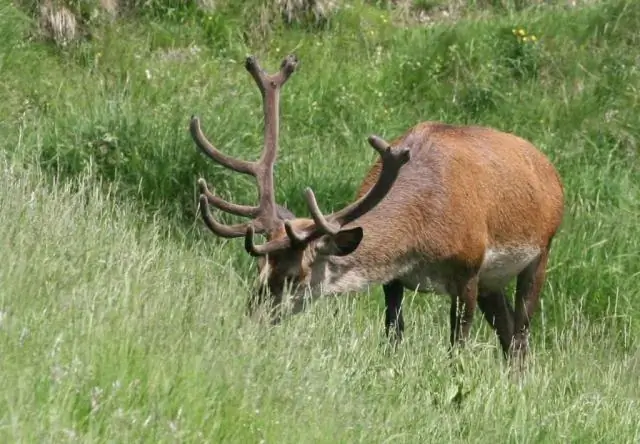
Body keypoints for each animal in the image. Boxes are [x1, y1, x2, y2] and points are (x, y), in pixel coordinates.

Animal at [189, 53, 564, 370]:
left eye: (296, 275)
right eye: (260, 265)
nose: (252, 318)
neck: (423, 234)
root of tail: (552, 173)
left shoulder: (468, 269)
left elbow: (456, 348)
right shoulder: (395, 278)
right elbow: (393, 334)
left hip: (540, 252)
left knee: (521, 333)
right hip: (493, 280)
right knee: (508, 331)